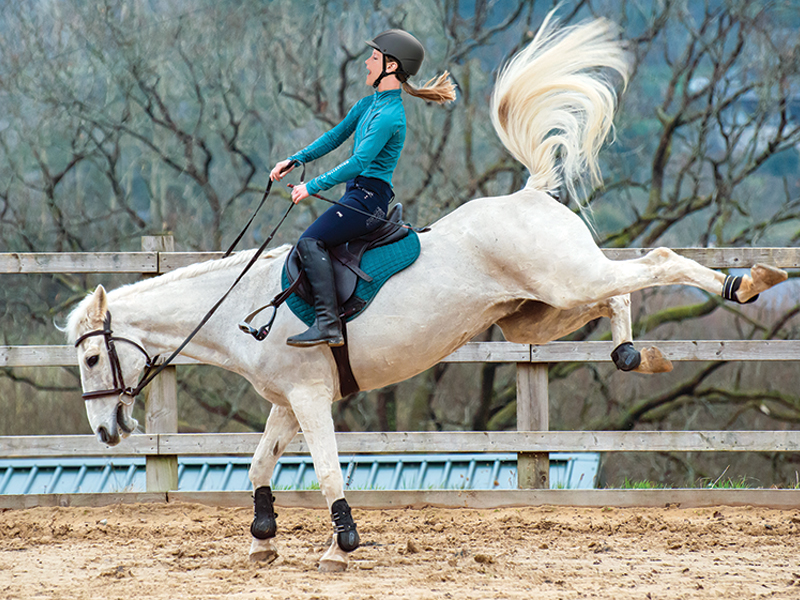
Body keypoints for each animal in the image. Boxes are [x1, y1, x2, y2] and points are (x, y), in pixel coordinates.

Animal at [65, 14, 787, 572]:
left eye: (94, 357)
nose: (105, 431)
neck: (239, 309)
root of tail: (529, 193)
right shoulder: (287, 403)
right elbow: (259, 467)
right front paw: (264, 541)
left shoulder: (309, 398)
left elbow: (326, 469)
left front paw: (340, 546)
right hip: (540, 313)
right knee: (619, 295)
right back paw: (638, 354)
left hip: (565, 282)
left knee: (658, 262)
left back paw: (747, 281)